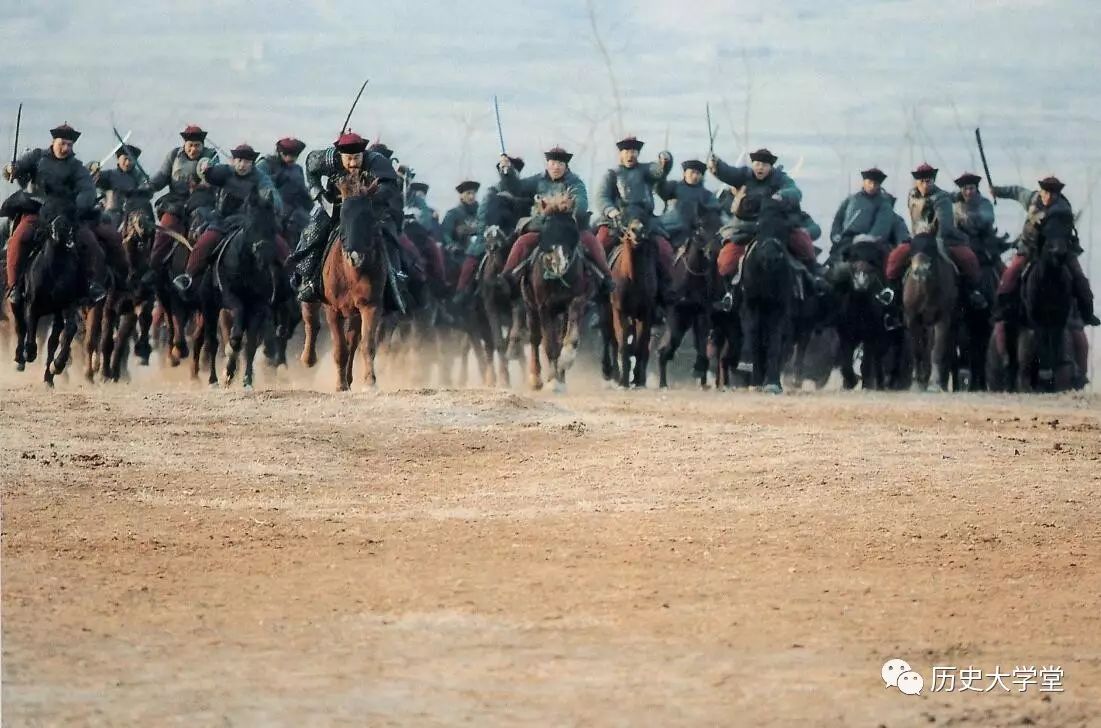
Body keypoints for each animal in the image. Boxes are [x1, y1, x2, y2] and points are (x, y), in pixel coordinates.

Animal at [188, 196, 277, 389]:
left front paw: (247, 380)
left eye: (273, 226)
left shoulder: (258, 306)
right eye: (251, 225)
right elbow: (234, 337)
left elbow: (250, 344)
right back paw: (212, 379)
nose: (263, 255)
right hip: (210, 307)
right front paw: (227, 373)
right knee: (211, 342)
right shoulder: (230, 299)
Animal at [299, 172, 389, 389]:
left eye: (368, 216)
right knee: (311, 320)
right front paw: (340, 386)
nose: (355, 256)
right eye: (343, 215)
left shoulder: (370, 305)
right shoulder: (333, 309)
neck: (351, 274)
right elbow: (340, 348)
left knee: (353, 341)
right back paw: (308, 359)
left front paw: (370, 382)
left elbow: (366, 344)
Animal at [519, 192, 590, 392]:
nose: (559, 263)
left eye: (571, 229)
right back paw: (536, 378)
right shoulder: (544, 307)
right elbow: (549, 344)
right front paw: (552, 382)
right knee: (536, 339)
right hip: (530, 306)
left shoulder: (576, 300)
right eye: (546, 229)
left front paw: (564, 364)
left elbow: (569, 339)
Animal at [651, 210, 722, 389]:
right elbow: (669, 346)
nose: (714, 251)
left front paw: (699, 371)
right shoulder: (674, 313)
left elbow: (702, 346)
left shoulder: (702, 313)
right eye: (701, 226)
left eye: (719, 225)